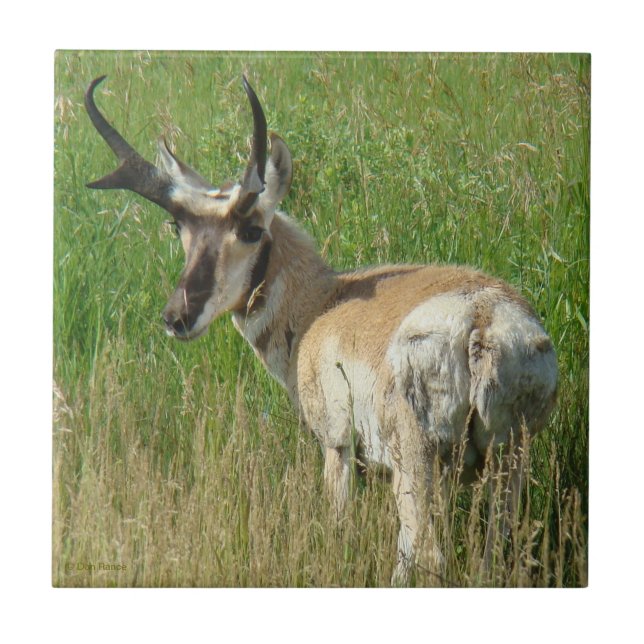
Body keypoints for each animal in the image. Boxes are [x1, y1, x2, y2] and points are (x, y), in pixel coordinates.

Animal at [84, 74, 558, 585]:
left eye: (251, 229)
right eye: (178, 226)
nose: (177, 317)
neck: (320, 303)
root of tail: (480, 319)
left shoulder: (337, 448)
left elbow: (338, 526)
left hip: (419, 461)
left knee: (423, 552)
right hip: (509, 460)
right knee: (500, 552)